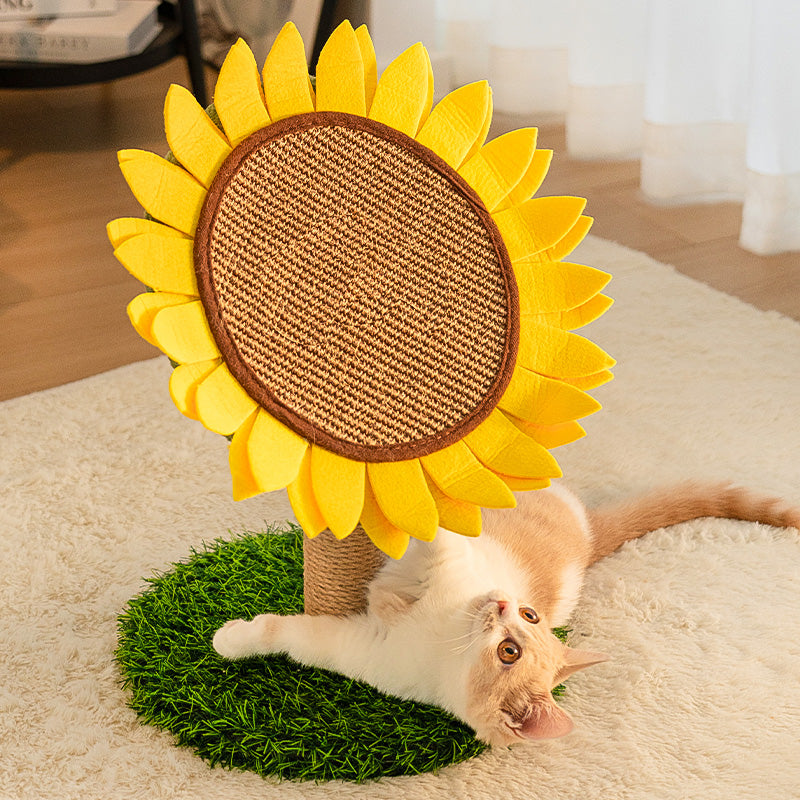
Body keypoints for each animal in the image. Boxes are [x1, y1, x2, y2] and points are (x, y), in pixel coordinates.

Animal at [212, 484, 800, 748]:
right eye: (531, 615)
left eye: (509, 650)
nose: (500, 603)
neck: (438, 635)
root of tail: (590, 536)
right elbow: (281, 630)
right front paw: (234, 640)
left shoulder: (368, 640)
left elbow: (432, 531)